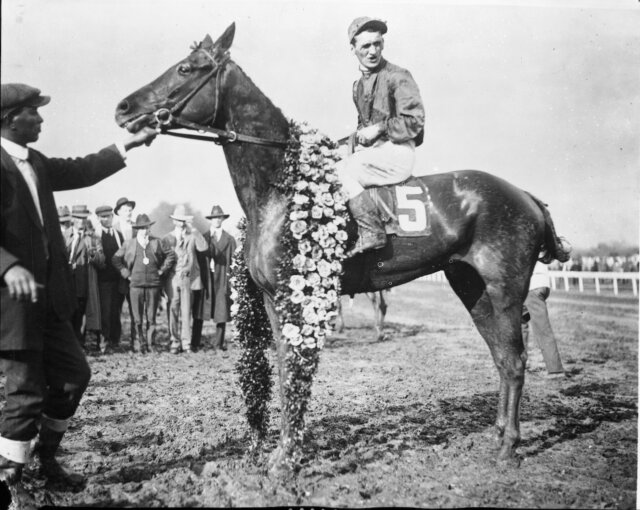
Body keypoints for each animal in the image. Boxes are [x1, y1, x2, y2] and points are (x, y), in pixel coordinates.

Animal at [115, 22, 568, 470]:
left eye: (186, 68)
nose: (123, 107)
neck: (280, 186)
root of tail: (525, 195)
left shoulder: (294, 295)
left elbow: (293, 368)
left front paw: (285, 458)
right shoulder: (272, 298)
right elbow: (284, 366)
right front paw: (280, 450)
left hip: (505, 287)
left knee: (514, 359)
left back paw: (509, 447)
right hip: (471, 286)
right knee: (501, 358)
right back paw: (498, 437)